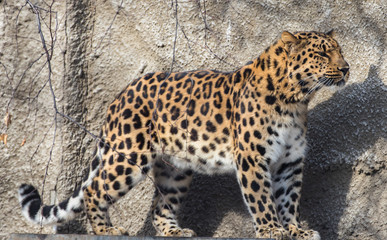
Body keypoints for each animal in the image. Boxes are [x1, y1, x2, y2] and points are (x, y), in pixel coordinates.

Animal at [18, 31, 350, 239]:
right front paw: (272, 230)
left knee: (161, 207)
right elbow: (263, 198)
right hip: (129, 155)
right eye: (323, 53)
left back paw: (175, 231)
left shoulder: (290, 161)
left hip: (175, 170)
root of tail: (121, 95)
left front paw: (296, 230)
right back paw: (106, 230)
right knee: (94, 190)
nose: (346, 68)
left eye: (340, 51)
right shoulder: (253, 158)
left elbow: (289, 198)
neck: (296, 99)